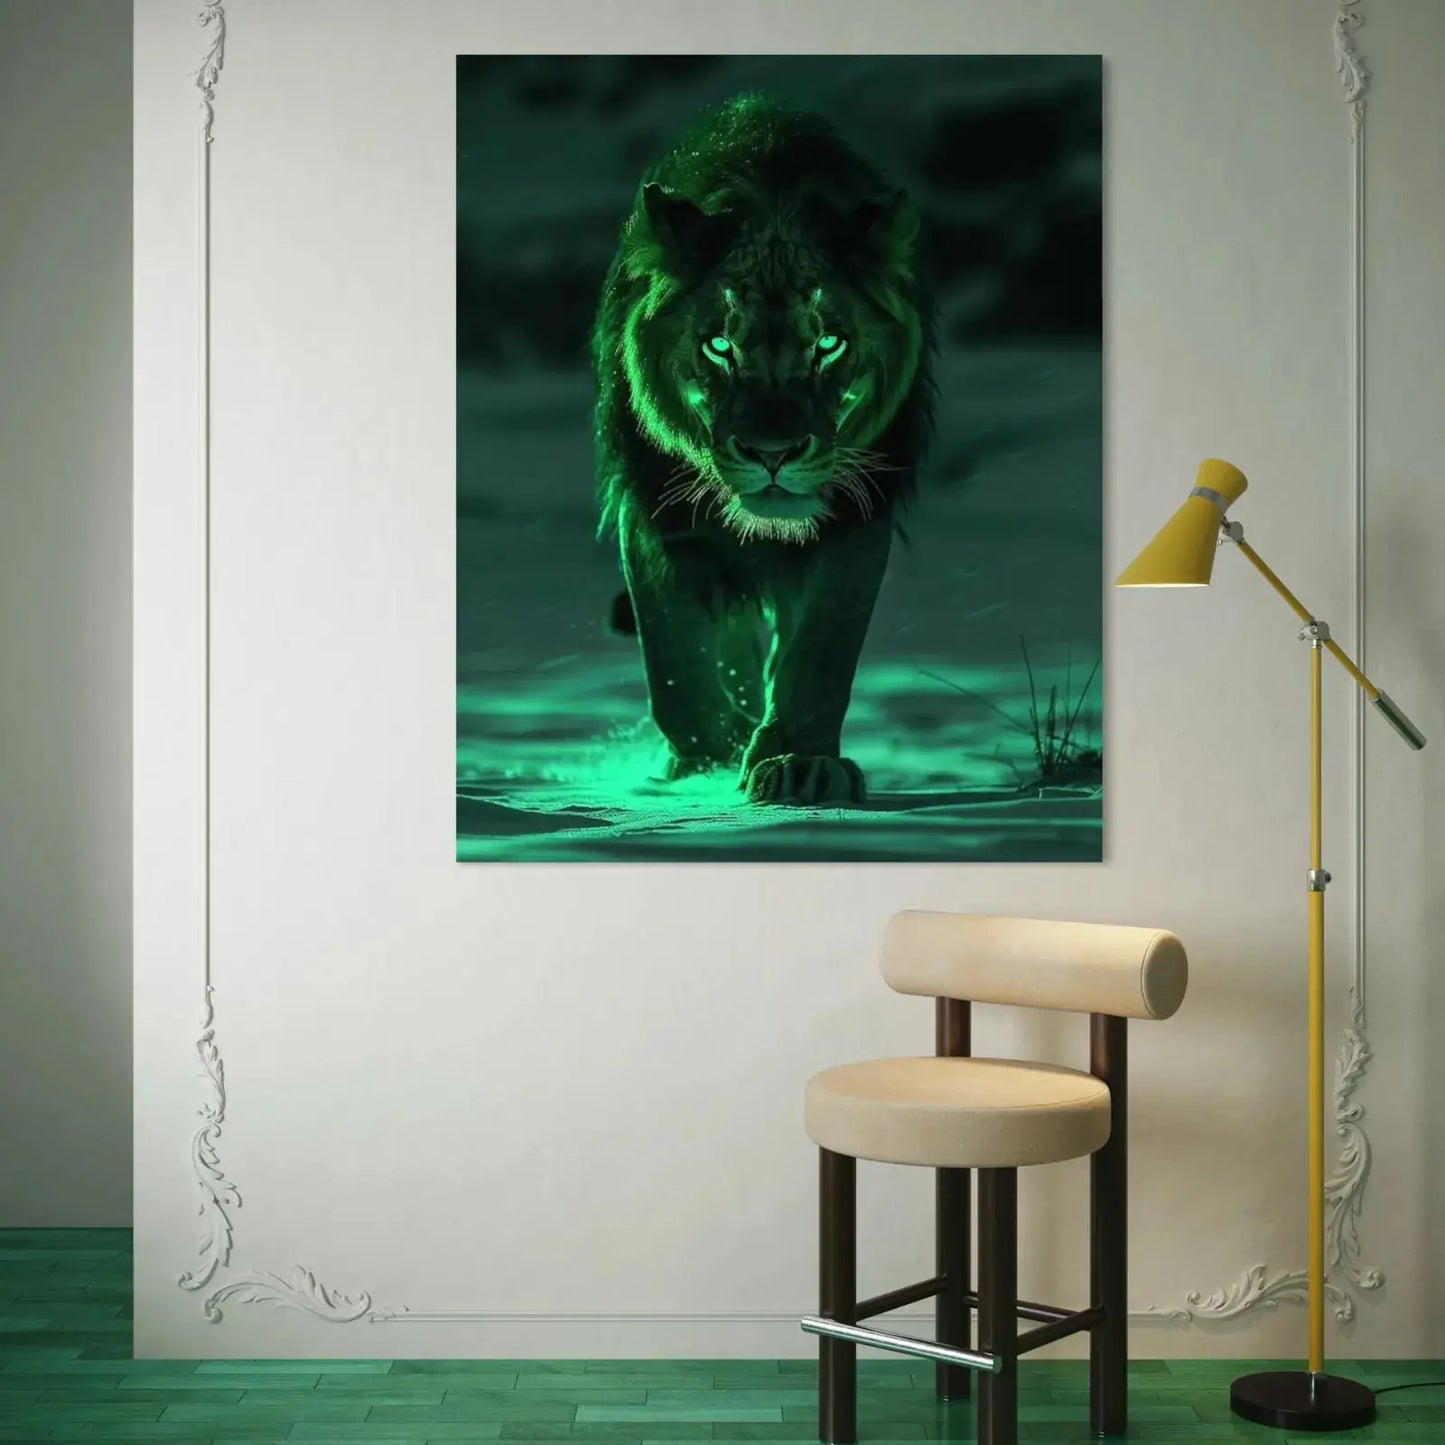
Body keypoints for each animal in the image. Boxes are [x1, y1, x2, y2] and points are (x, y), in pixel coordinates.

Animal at [592, 92, 936, 805]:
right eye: (720, 345)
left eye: (827, 343)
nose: (773, 452)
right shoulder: (658, 515)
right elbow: (673, 662)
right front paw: (706, 764)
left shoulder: (858, 512)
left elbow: (824, 649)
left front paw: (799, 763)